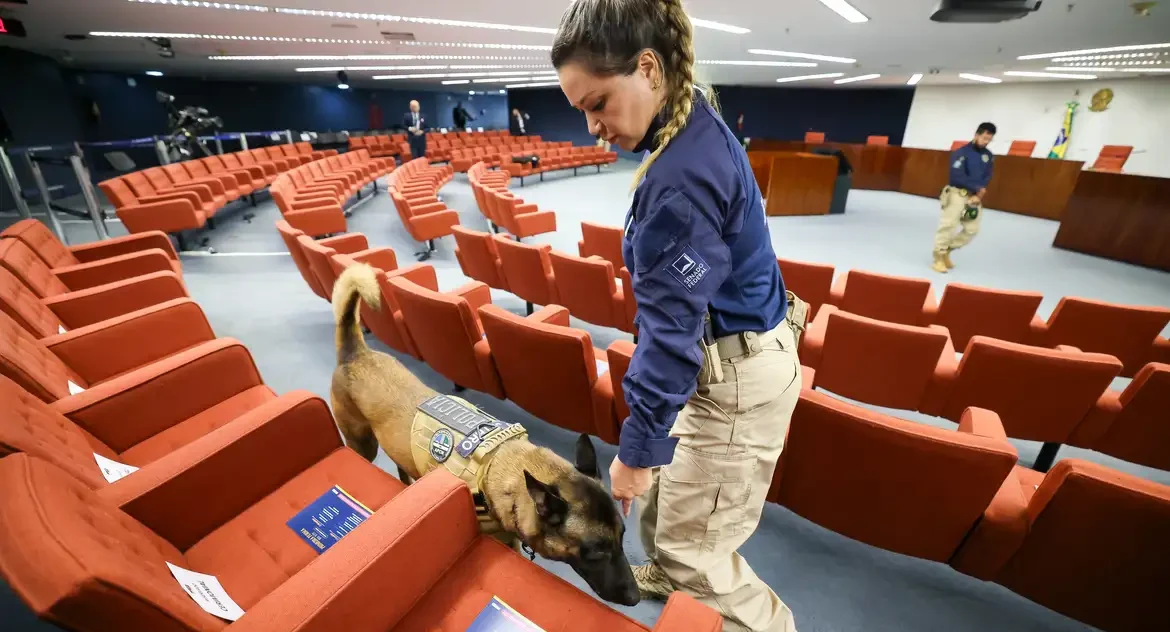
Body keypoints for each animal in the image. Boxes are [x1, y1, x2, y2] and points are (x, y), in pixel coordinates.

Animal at [329, 263, 641, 608]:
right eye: (597, 551)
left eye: (622, 538)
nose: (636, 598)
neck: (503, 472)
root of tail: (355, 354)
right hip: (362, 444)